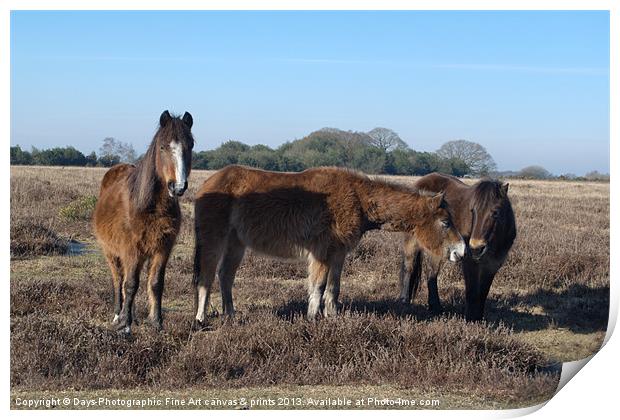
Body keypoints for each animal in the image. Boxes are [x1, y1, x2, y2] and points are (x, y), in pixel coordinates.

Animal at [92, 110, 193, 334]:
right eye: (163, 146)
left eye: (190, 145)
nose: (178, 187)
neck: (151, 206)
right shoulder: (131, 249)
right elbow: (130, 284)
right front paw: (125, 325)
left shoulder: (163, 248)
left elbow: (155, 283)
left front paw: (156, 322)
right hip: (111, 252)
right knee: (118, 280)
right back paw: (118, 315)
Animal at [194, 166, 464, 324]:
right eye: (445, 222)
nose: (461, 251)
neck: (358, 198)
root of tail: (208, 183)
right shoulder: (322, 252)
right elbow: (318, 286)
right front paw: (312, 319)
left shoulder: (338, 253)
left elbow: (334, 287)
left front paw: (332, 316)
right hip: (213, 238)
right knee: (207, 276)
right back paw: (200, 318)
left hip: (236, 243)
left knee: (225, 275)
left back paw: (231, 316)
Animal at [400, 172, 516, 320]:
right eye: (473, 211)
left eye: (495, 212)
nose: (476, 248)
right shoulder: (470, 262)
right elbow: (472, 291)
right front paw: (471, 319)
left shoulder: (493, 265)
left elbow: (483, 292)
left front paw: (479, 318)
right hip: (412, 242)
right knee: (409, 267)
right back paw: (404, 301)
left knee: (431, 273)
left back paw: (435, 308)